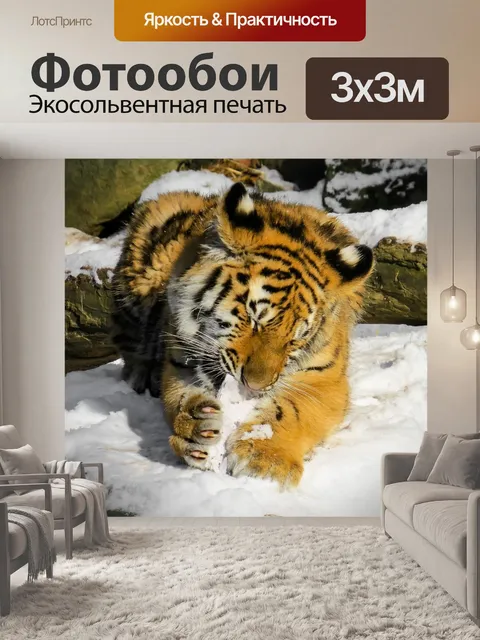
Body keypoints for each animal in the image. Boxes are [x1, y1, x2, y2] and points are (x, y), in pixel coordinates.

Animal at [111, 182, 374, 488]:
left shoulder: (324, 379)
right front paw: (196, 427)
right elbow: (180, 397)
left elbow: (292, 411)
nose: (256, 387)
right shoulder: (180, 360)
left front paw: (265, 458)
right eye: (253, 318)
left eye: (295, 338)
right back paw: (141, 374)